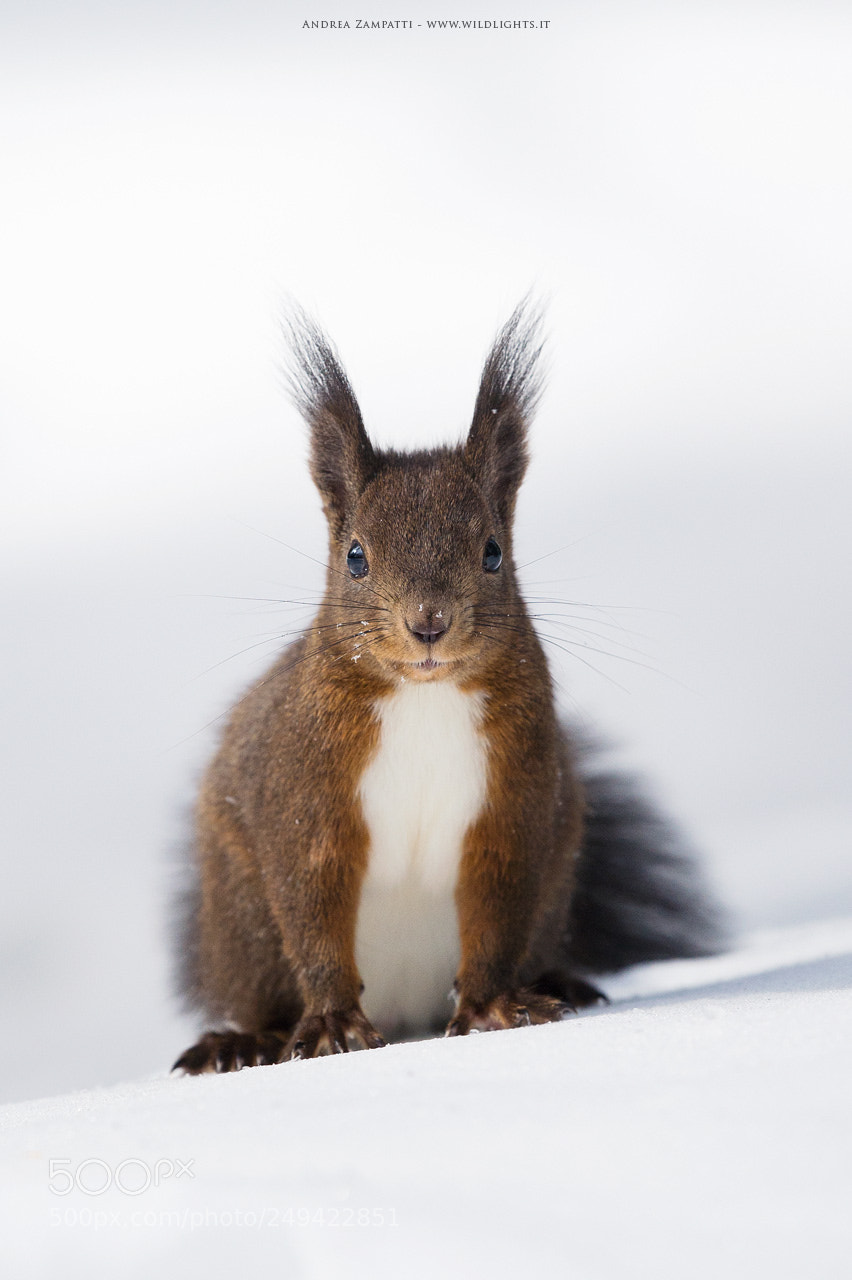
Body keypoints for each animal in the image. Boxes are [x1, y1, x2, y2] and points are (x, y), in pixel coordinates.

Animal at [172, 301, 721, 1074]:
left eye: (493, 551)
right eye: (355, 556)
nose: (427, 622)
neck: (423, 697)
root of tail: (408, 1013)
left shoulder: (513, 796)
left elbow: (496, 908)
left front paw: (494, 1009)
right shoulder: (303, 789)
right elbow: (312, 907)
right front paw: (333, 1024)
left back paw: (559, 983)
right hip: (241, 927)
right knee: (265, 992)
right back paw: (242, 1041)